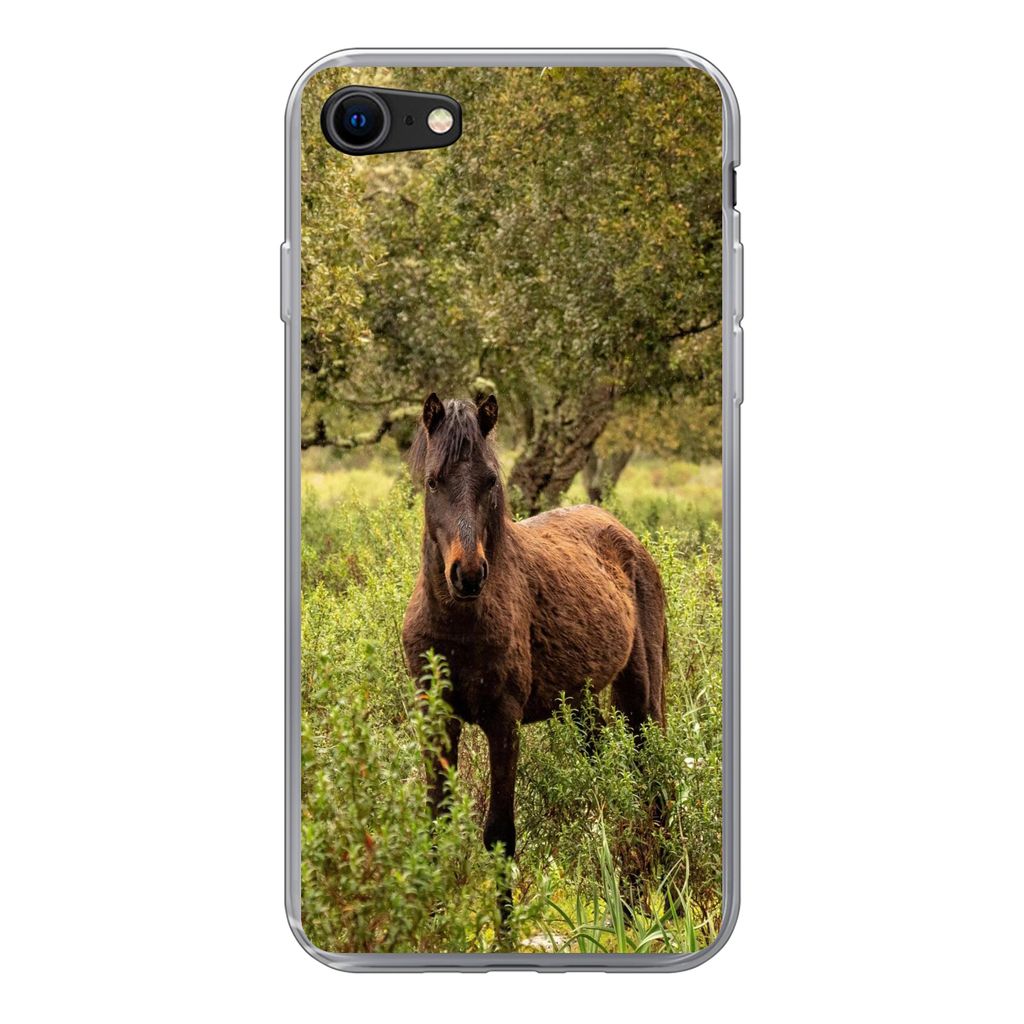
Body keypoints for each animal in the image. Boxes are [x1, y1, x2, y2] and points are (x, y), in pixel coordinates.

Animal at [401, 392, 668, 907]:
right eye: (432, 481)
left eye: (490, 480)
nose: (468, 575)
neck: (459, 625)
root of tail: (626, 536)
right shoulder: (436, 716)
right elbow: (435, 825)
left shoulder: (504, 721)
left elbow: (500, 835)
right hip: (582, 706)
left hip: (641, 698)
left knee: (654, 783)